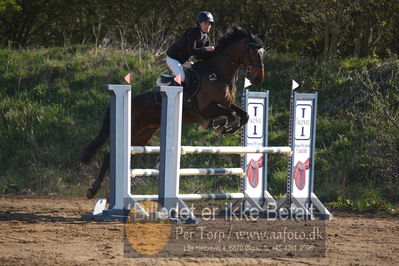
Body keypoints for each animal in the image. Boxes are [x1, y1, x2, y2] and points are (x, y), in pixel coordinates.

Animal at [81, 25, 266, 200]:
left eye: (263, 52)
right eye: (253, 51)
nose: (258, 79)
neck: (217, 73)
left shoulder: (227, 104)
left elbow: (244, 115)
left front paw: (225, 127)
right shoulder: (207, 108)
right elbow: (230, 115)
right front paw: (221, 126)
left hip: (142, 135)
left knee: (124, 155)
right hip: (132, 131)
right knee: (108, 156)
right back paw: (92, 190)